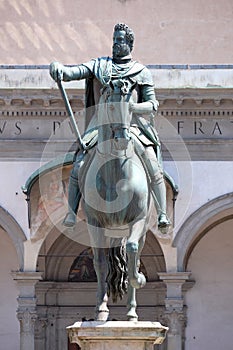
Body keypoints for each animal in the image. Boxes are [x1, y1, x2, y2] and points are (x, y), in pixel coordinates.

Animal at [79, 80, 150, 322]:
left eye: (132, 107)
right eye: (110, 107)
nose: (121, 140)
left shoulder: (138, 219)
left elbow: (132, 252)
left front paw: (139, 279)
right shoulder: (94, 223)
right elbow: (100, 264)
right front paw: (101, 310)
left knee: (134, 254)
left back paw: (131, 313)